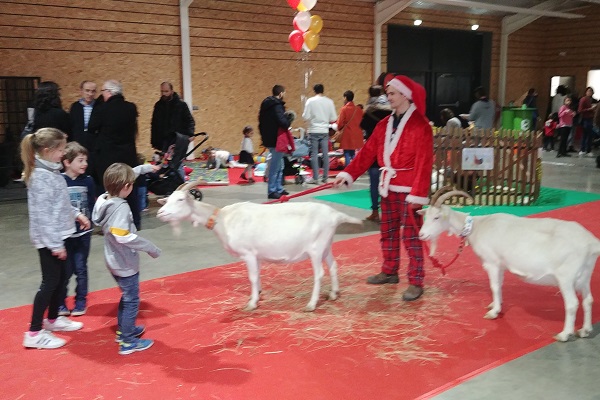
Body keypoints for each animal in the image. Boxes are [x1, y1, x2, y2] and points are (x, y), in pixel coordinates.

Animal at [155, 180, 360, 312]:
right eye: (168, 199)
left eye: (180, 200)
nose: (160, 213)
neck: (223, 219)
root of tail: (335, 215)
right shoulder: (257, 255)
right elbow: (258, 275)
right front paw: (259, 294)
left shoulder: (248, 254)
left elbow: (252, 277)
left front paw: (251, 303)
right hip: (326, 245)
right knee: (333, 266)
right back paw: (334, 293)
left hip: (315, 249)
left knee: (319, 273)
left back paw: (311, 304)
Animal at [418, 188, 600, 340]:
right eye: (426, 216)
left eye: (436, 217)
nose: (421, 235)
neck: (477, 226)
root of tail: (592, 243)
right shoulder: (501, 265)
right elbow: (499, 285)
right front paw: (495, 305)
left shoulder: (491, 263)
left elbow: (494, 286)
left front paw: (493, 312)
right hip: (584, 275)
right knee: (588, 300)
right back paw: (585, 330)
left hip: (566, 277)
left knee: (572, 304)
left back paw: (564, 334)